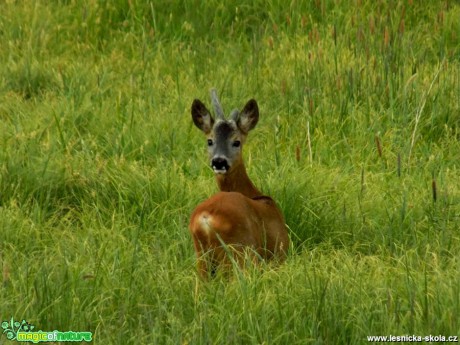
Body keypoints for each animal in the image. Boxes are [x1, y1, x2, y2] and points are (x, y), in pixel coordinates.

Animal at [189, 89, 290, 276]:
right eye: (210, 141)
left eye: (236, 142)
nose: (219, 161)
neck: (255, 193)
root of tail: (206, 219)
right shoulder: (281, 252)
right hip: (242, 252)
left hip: (202, 258)